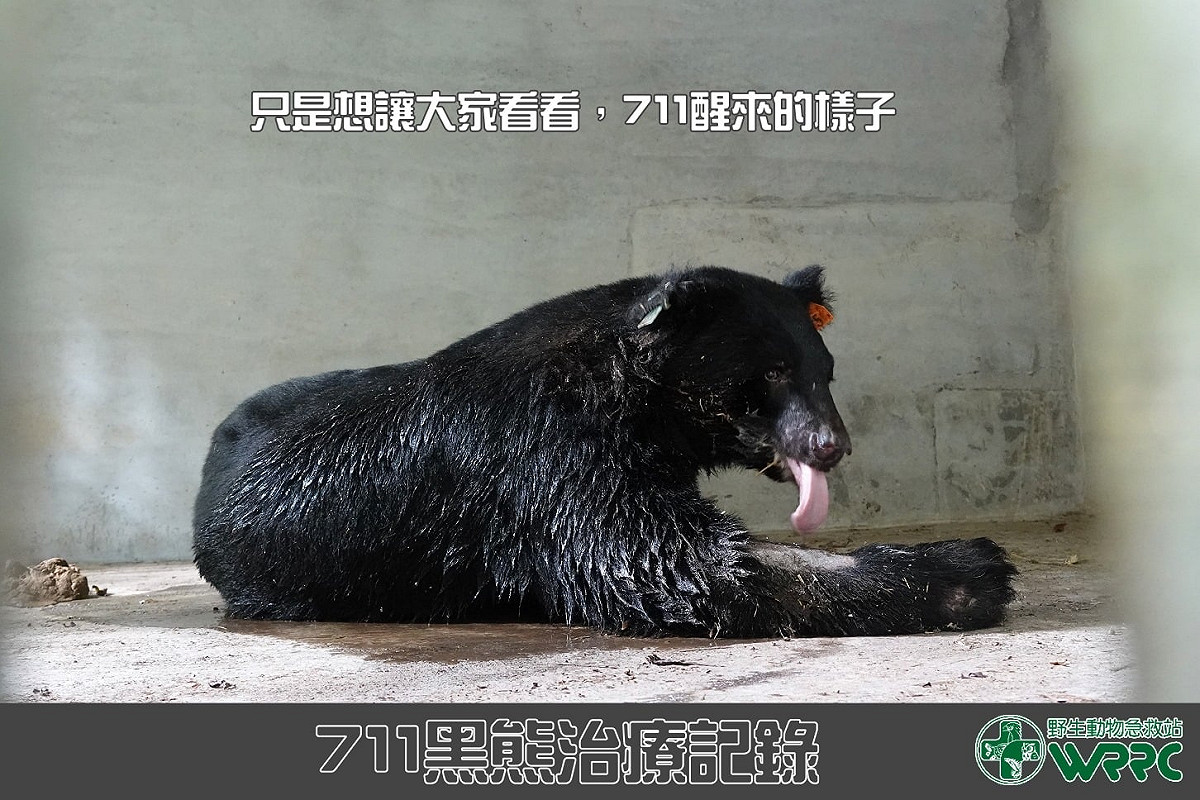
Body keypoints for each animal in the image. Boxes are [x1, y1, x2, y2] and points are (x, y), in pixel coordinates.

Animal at [192, 265, 1016, 637]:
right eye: (776, 372)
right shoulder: (546, 456)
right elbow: (668, 559)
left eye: (826, 372)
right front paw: (967, 569)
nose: (832, 445)